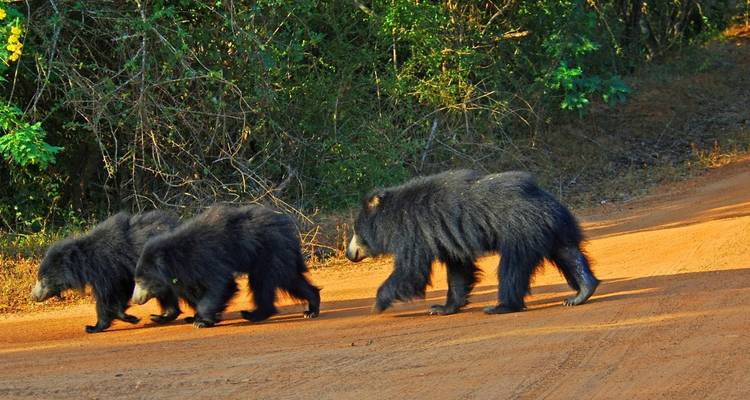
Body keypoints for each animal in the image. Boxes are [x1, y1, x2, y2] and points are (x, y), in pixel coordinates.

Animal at [31, 210, 182, 333]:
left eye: (43, 280)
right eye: (39, 278)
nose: (33, 296)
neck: (84, 261)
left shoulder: (106, 269)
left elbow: (107, 296)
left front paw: (93, 327)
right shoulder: (120, 273)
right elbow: (121, 292)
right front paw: (129, 317)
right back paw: (162, 316)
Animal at [131, 204, 321, 328]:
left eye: (140, 281)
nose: (135, 300)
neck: (177, 258)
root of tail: (287, 226)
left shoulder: (208, 259)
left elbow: (222, 286)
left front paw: (202, 321)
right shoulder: (188, 272)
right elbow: (196, 291)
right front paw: (195, 317)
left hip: (270, 251)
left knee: (265, 282)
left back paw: (255, 314)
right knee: (290, 279)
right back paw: (310, 308)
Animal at [345, 169, 599, 315]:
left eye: (357, 232)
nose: (349, 254)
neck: (391, 215)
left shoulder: (413, 232)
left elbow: (411, 271)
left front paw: (377, 304)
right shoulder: (445, 238)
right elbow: (459, 270)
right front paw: (442, 308)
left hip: (521, 230)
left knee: (512, 268)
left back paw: (500, 307)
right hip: (553, 228)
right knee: (568, 253)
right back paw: (581, 293)